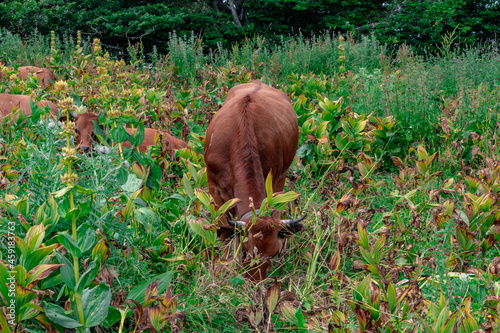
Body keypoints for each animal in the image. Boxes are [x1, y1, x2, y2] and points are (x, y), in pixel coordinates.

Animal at [203, 80, 304, 280]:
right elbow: (223, 230)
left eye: (275, 253)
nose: (256, 283)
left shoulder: (273, 181)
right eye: (244, 251)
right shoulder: (214, 189)